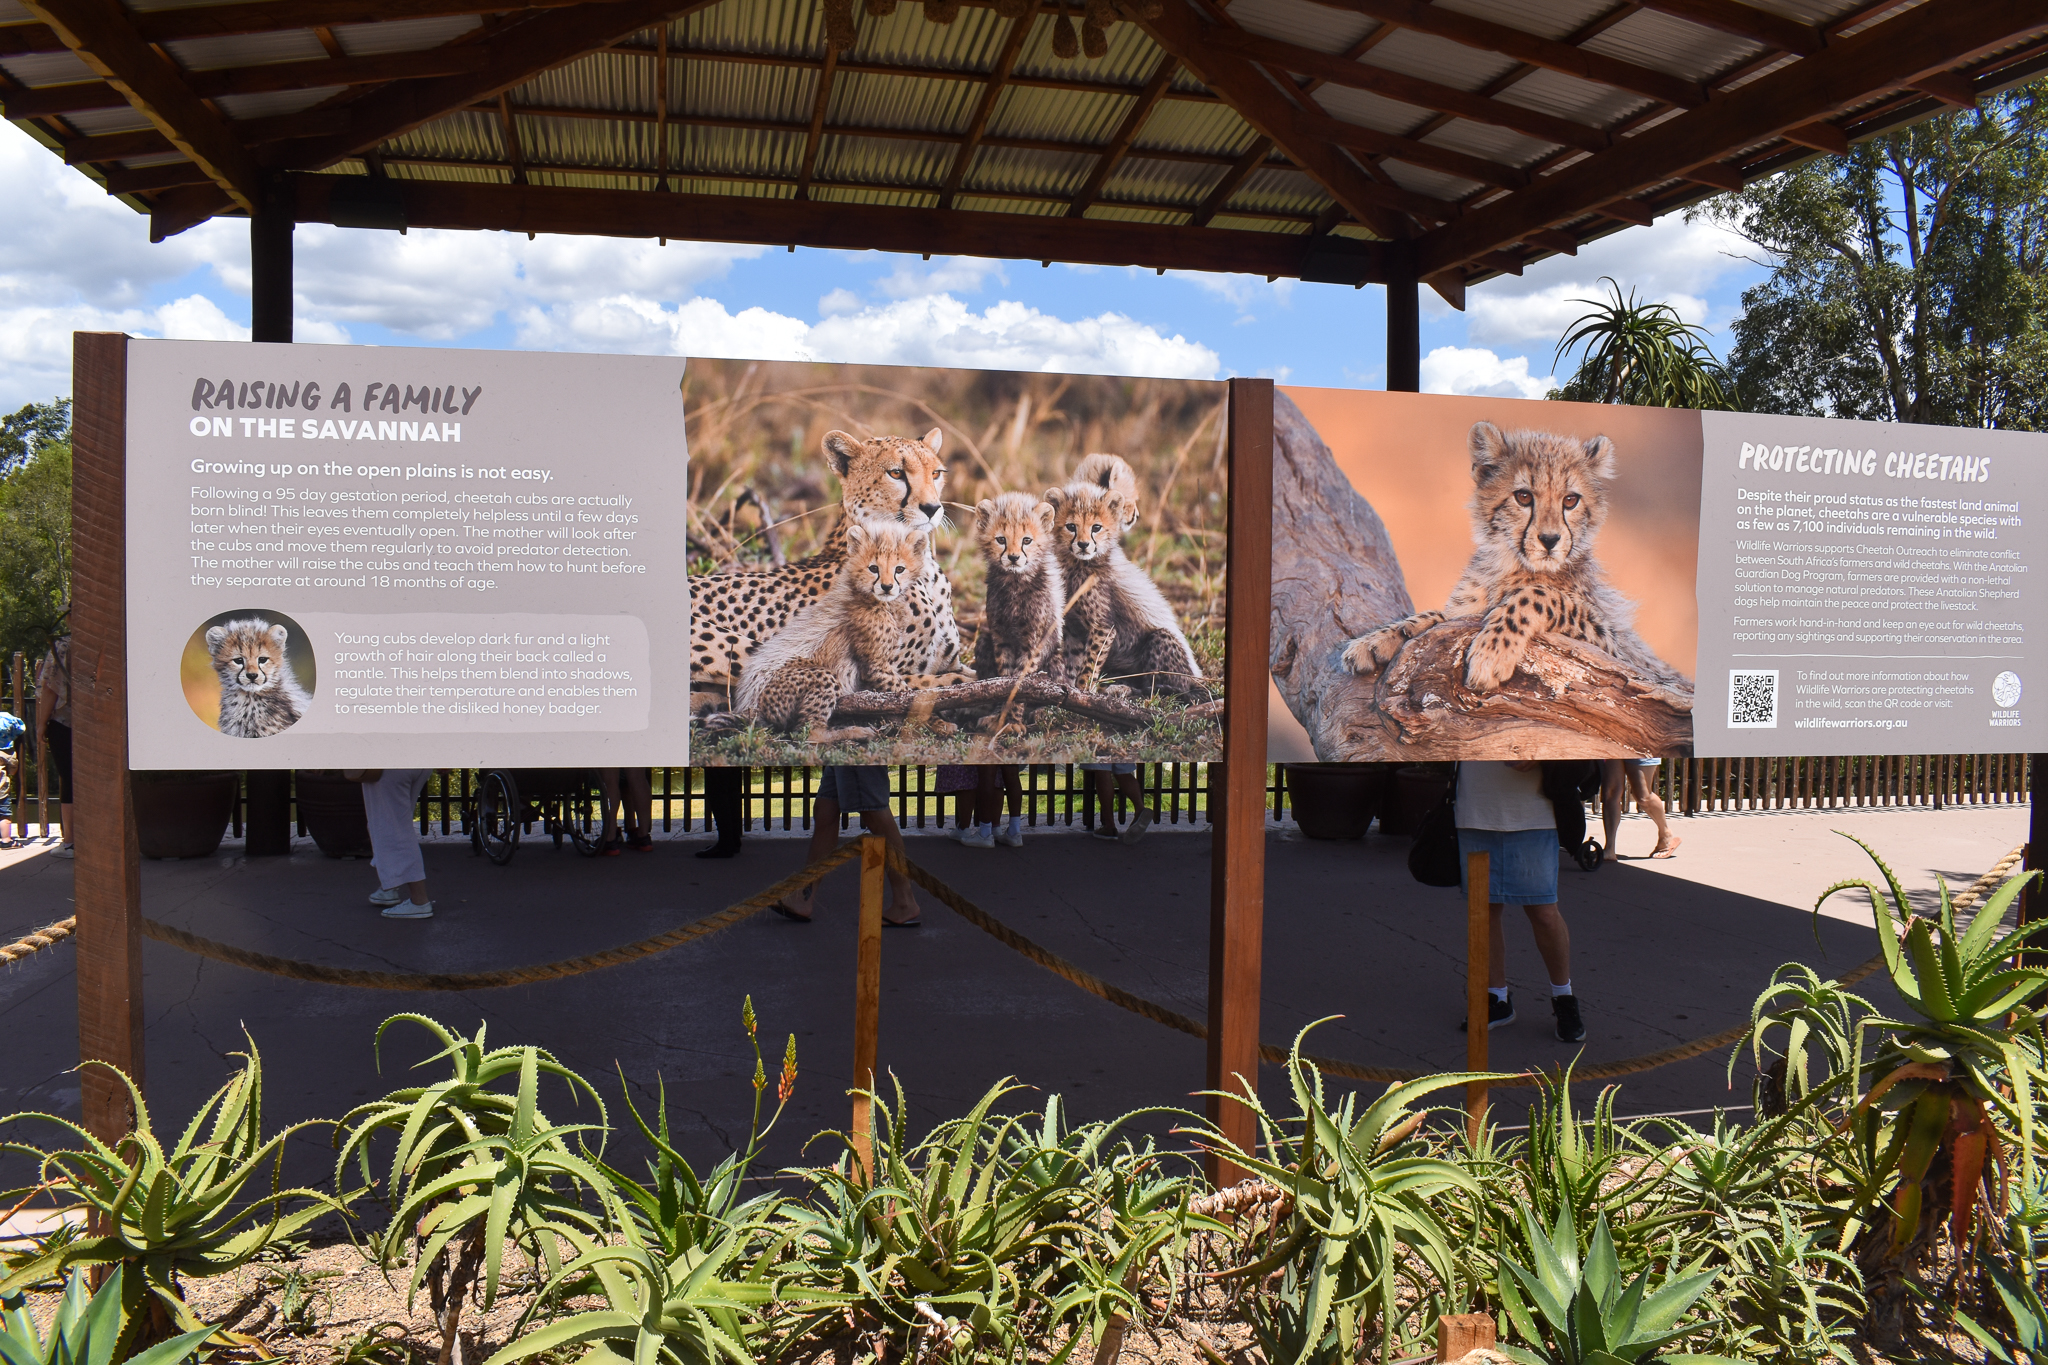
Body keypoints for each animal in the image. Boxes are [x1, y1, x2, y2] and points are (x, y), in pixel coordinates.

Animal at [733, 521, 929, 744]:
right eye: (873, 568)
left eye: (899, 569)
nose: (887, 587)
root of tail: (748, 705)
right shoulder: (876, 665)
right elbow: (905, 693)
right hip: (818, 676)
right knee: (809, 732)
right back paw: (853, 732)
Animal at [969, 492, 1064, 680]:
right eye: (1001, 539)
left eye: (1026, 540)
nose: (1013, 557)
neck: (1015, 582)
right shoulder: (1000, 634)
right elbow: (1004, 666)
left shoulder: (1034, 639)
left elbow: (1024, 669)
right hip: (983, 639)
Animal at [1045, 454, 1203, 695]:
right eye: (1071, 526)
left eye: (1096, 527)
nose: (1083, 545)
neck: (1076, 564)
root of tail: (1197, 676)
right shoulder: (1074, 627)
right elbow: (1074, 661)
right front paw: (1070, 688)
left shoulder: (1103, 627)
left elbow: (1089, 665)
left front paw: (1083, 691)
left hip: (1161, 639)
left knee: (1169, 685)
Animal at [1339, 420, 1679, 693]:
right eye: (1524, 496)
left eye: (1570, 500)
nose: (1550, 540)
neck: (1511, 565)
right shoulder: (1462, 614)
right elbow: (1440, 616)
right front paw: (1377, 639)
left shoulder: (1614, 653)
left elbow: (1537, 595)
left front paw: (1492, 653)